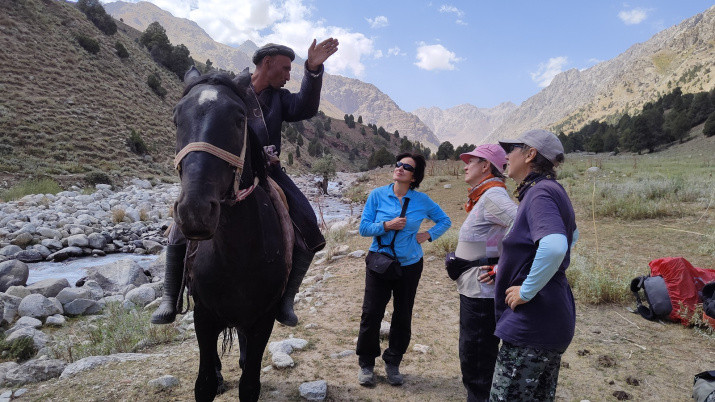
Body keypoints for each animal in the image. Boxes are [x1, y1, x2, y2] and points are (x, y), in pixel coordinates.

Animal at [175, 67, 290, 400]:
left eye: (240, 119)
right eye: (176, 119)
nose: (196, 211)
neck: (237, 255)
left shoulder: (263, 319)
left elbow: (250, 384)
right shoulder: (203, 317)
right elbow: (204, 384)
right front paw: (213, 378)